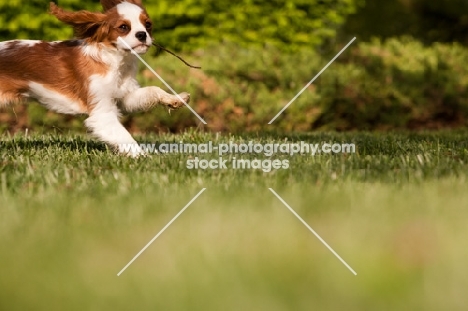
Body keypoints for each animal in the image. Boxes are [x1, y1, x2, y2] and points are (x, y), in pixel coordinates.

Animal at [0, 0, 190, 156]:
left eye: (148, 25)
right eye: (123, 27)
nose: (142, 34)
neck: (115, 61)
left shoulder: (123, 97)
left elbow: (153, 90)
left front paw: (175, 99)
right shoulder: (102, 112)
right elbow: (125, 137)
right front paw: (144, 158)